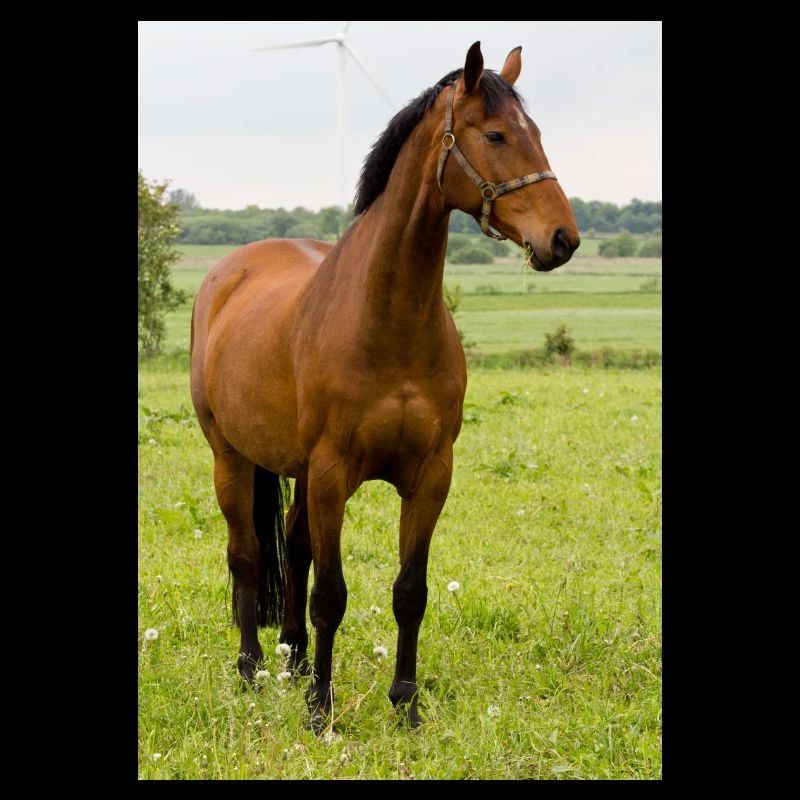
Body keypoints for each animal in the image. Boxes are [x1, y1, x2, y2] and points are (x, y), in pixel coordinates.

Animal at [190, 41, 580, 733]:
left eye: (536, 133)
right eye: (497, 135)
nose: (562, 239)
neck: (389, 320)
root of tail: (226, 273)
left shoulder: (430, 475)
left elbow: (409, 592)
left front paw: (405, 704)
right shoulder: (331, 472)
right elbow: (331, 594)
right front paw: (321, 710)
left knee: (294, 548)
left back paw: (293, 660)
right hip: (231, 458)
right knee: (247, 554)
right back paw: (252, 669)